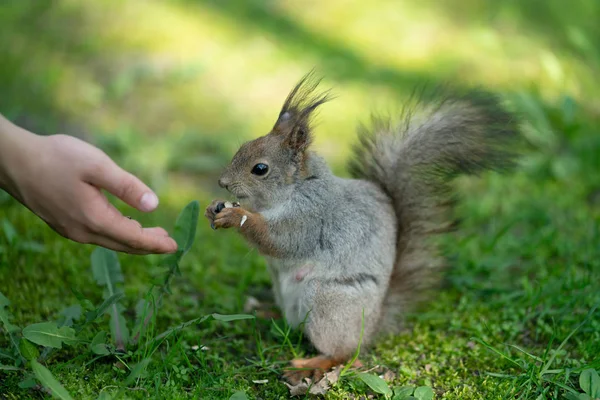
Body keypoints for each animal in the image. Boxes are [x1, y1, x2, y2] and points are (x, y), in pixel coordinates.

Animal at [203, 72, 520, 384]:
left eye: (260, 169)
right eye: (241, 148)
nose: (222, 182)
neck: (288, 192)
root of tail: (374, 324)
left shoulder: (312, 217)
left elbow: (279, 239)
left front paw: (235, 216)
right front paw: (214, 207)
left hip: (329, 302)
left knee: (343, 352)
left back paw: (309, 365)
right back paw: (266, 313)